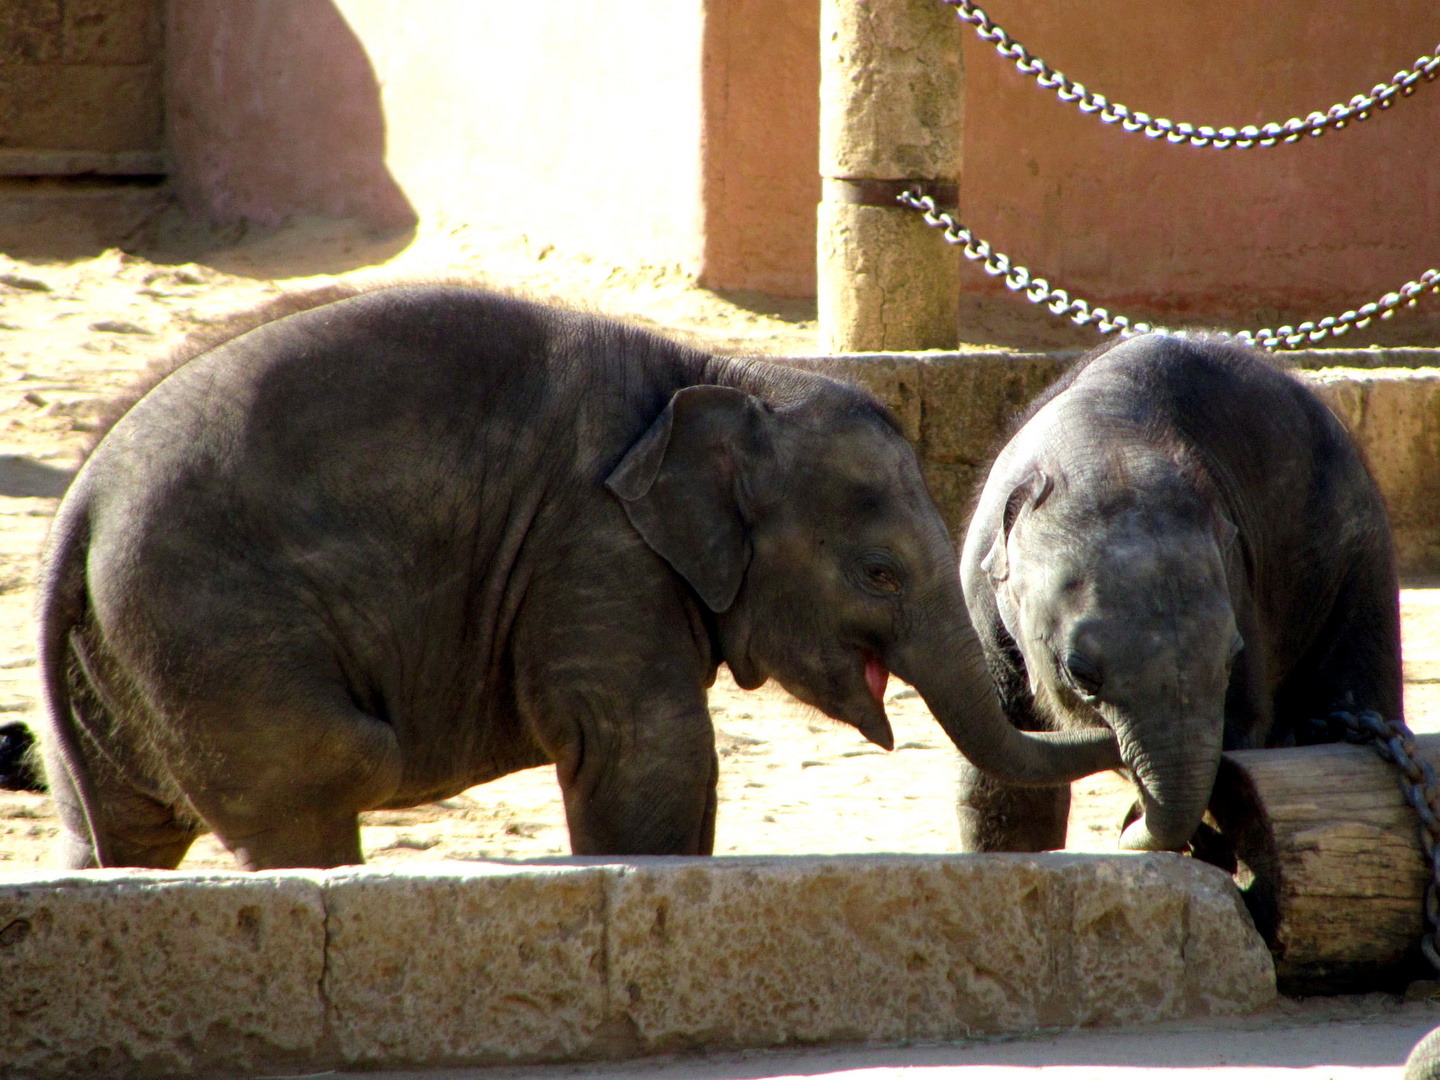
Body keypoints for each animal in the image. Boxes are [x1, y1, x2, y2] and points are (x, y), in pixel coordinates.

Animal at [30, 285, 1111, 869]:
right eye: (881, 572)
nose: (1089, 696)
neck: (721, 372)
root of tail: (77, 505)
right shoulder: (593, 548)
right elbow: (649, 749)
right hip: (213, 633)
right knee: (320, 776)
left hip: (128, 667)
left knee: (118, 830)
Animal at [961, 334, 1399, 858]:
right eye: (1081, 674)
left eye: (1231, 658)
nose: (1130, 816)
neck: (1103, 445)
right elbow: (1008, 783)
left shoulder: (1239, 585)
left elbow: (1240, 734)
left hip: (1358, 551)